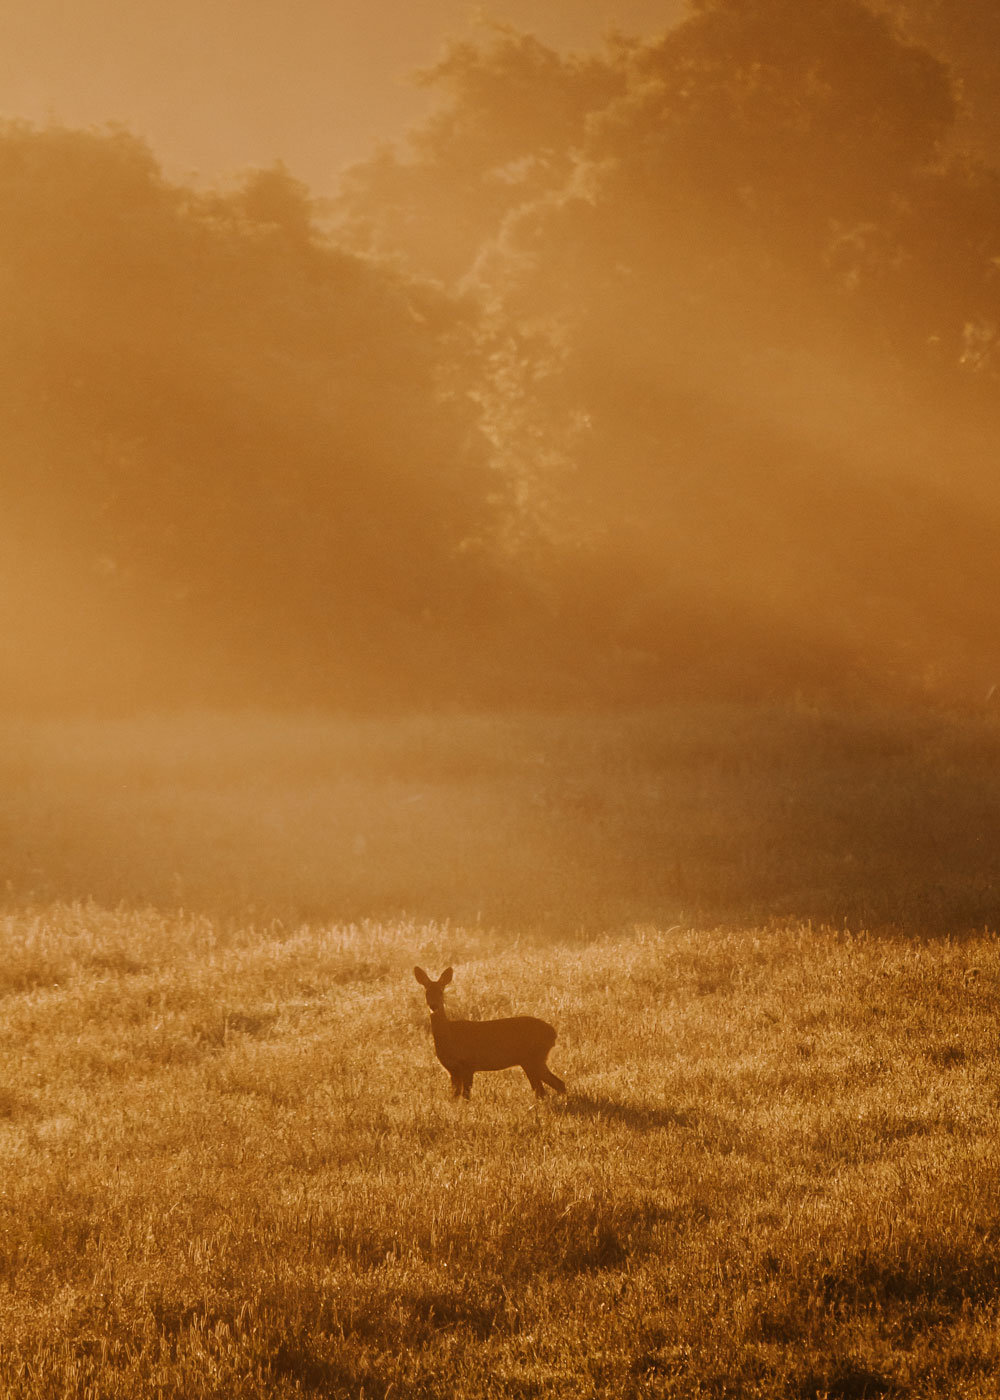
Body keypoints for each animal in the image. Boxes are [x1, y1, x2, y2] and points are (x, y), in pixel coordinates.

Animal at [411, 968, 565, 1097]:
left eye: (441, 992)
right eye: (426, 992)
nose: (434, 1006)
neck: (449, 1035)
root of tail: (553, 1032)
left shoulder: (468, 1065)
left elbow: (465, 1096)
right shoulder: (452, 1070)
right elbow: (454, 1097)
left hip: (532, 1058)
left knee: (543, 1090)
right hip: (535, 1060)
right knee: (557, 1084)